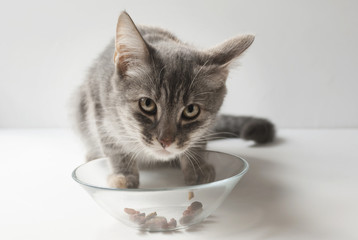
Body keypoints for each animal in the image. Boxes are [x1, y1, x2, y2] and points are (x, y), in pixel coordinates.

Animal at [73, 10, 274, 188]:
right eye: (147, 104)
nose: (166, 142)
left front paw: (196, 167)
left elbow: (198, 139)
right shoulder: (99, 104)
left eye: (191, 110)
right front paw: (123, 175)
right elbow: (114, 145)